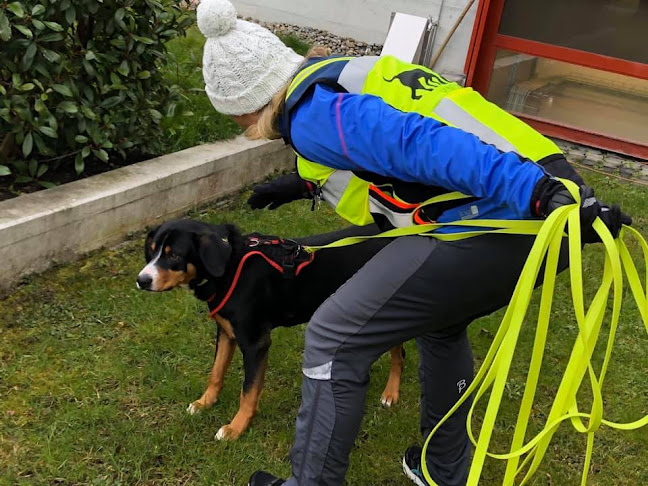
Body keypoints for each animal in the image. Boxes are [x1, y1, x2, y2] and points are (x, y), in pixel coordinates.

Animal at [137, 220, 404, 440]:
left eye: (174, 255)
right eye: (152, 251)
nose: (142, 280)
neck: (230, 267)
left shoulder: (255, 343)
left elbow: (248, 390)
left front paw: (235, 428)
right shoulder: (226, 333)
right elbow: (216, 372)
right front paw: (204, 403)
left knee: (398, 353)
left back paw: (390, 393)